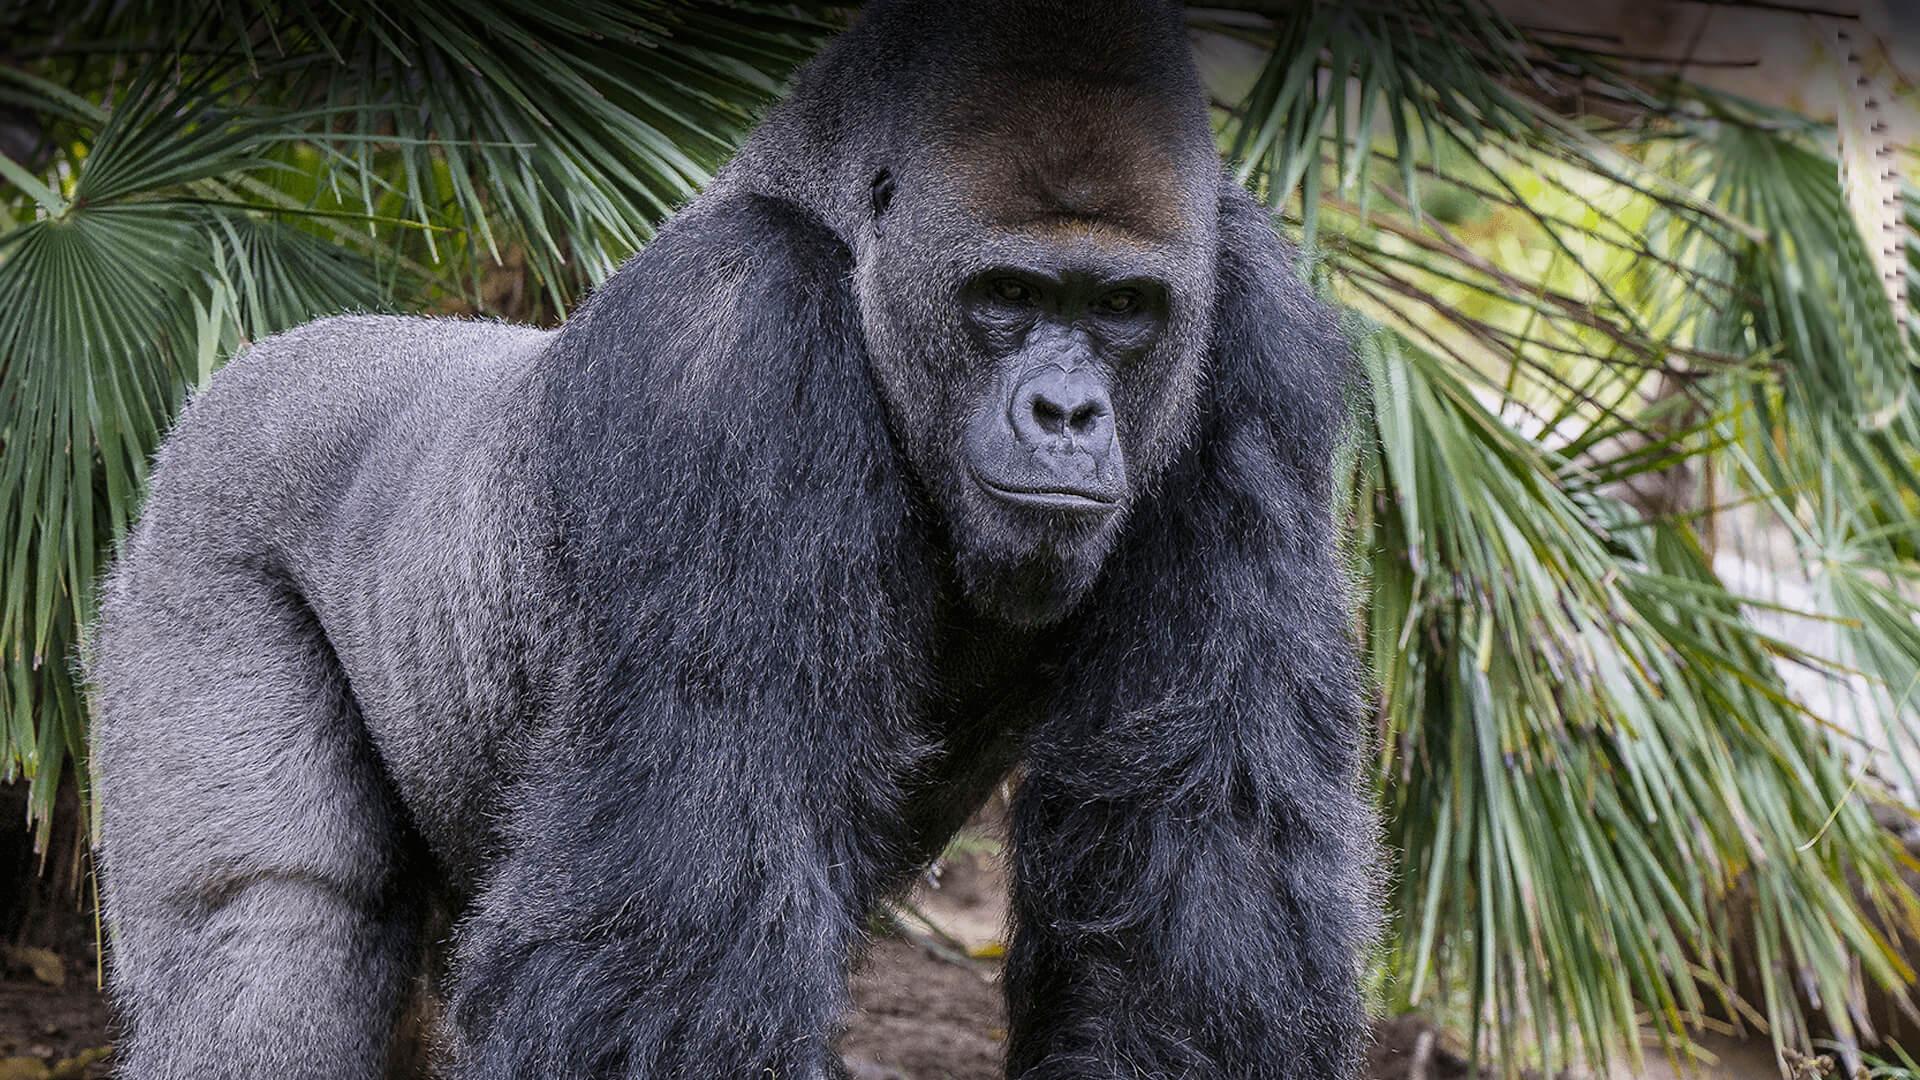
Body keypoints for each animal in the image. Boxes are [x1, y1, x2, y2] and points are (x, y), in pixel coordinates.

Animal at [88, 1, 1377, 1076]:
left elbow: (1200, 872)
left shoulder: (1255, 340)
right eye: (1006, 295)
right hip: (199, 523)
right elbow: (672, 953)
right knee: (272, 939)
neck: (833, 226)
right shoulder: (731, 344)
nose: (1067, 415)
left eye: (1122, 308)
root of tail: (266, 360)